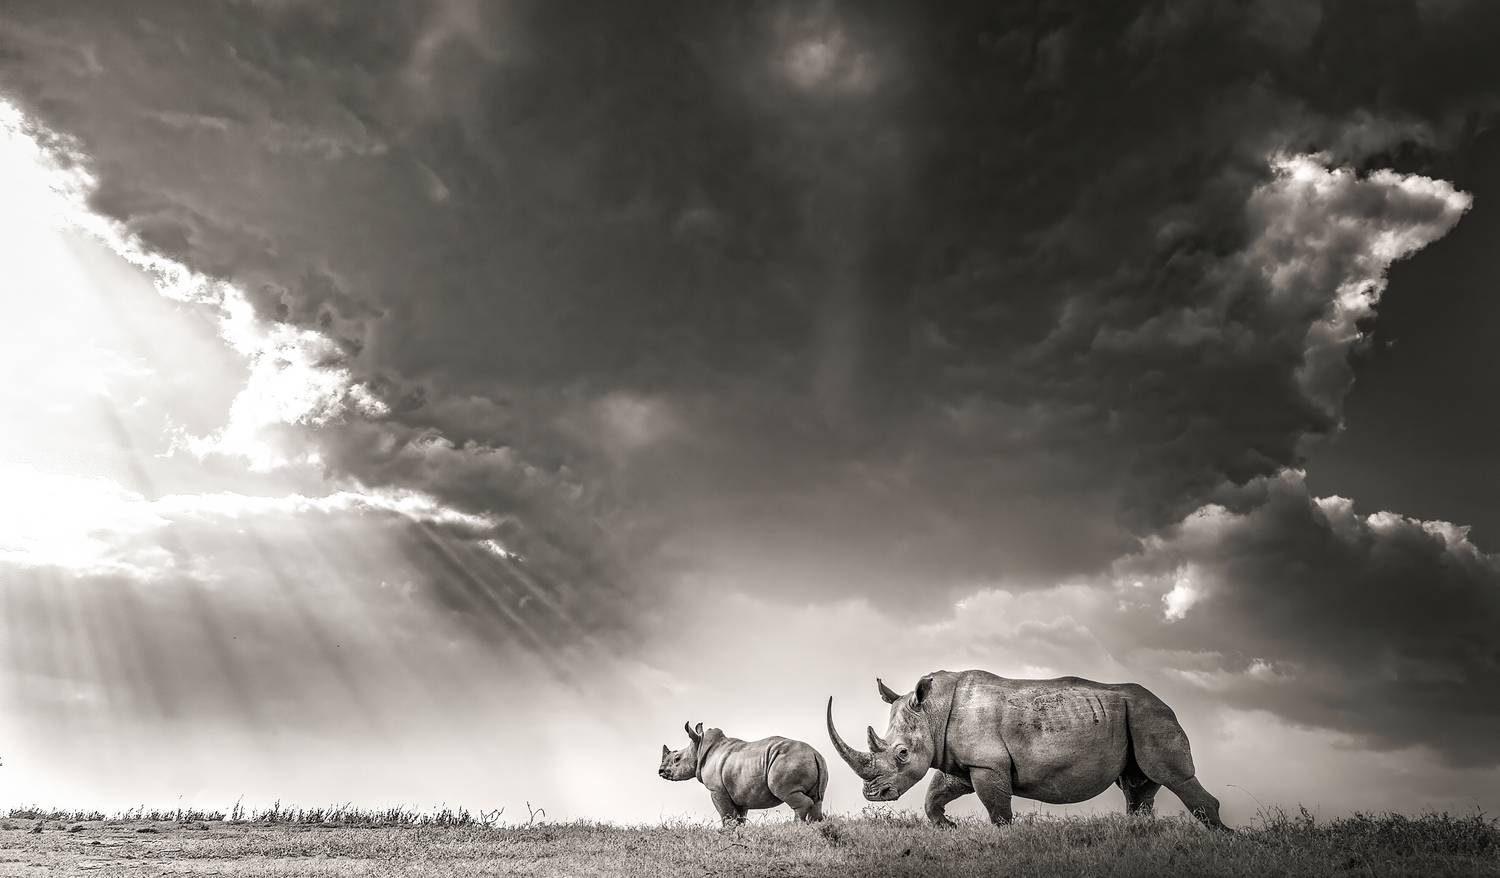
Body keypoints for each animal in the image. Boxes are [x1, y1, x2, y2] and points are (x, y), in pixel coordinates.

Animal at [659, 722, 828, 824]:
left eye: (677, 759)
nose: (660, 771)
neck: (699, 748)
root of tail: (815, 753)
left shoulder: (717, 789)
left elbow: (726, 815)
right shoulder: (740, 791)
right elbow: (739, 817)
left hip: (788, 761)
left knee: (787, 792)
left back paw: (796, 826)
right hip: (812, 762)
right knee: (817, 799)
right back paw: (815, 825)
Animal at [827, 671, 1226, 829]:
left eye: (902, 754)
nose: (873, 794)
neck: (933, 712)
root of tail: (1164, 702)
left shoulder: (987, 764)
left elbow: (998, 810)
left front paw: (1004, 839)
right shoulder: (963, 761)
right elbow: (934, 796)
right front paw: (949, 827)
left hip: (1150, 716)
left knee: (1172, 776)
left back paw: (1226, 838)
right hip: (1136, 718)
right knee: (1137, 786)